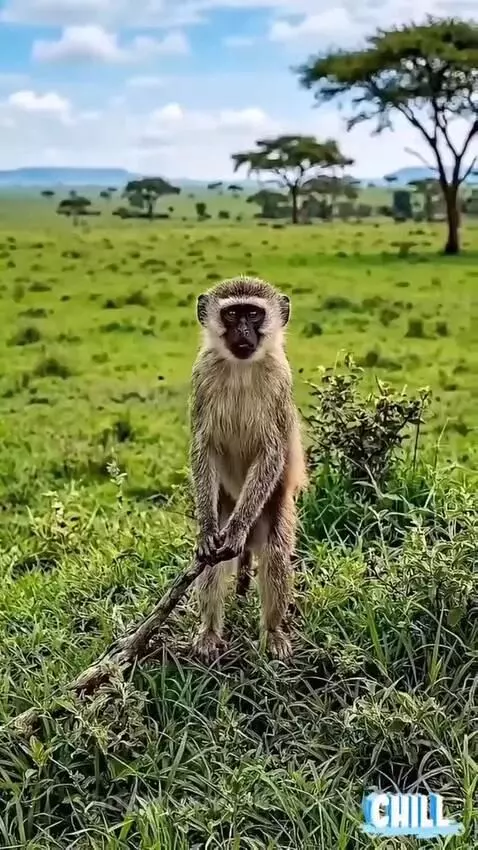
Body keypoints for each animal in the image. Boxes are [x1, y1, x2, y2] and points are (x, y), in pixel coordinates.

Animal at [189, 275, 307, 662]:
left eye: (253, 313)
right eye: (232, 314)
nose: (242, 331)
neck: (241, 367)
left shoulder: (280, 380)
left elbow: (272, 452)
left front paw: (237, 529)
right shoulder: (202, 376)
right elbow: (204, 448)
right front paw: (207, 529)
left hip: (272, 508)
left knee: (274, 557)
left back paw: (273, 633)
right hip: (225, 500)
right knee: (212, 565)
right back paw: (210, 632)